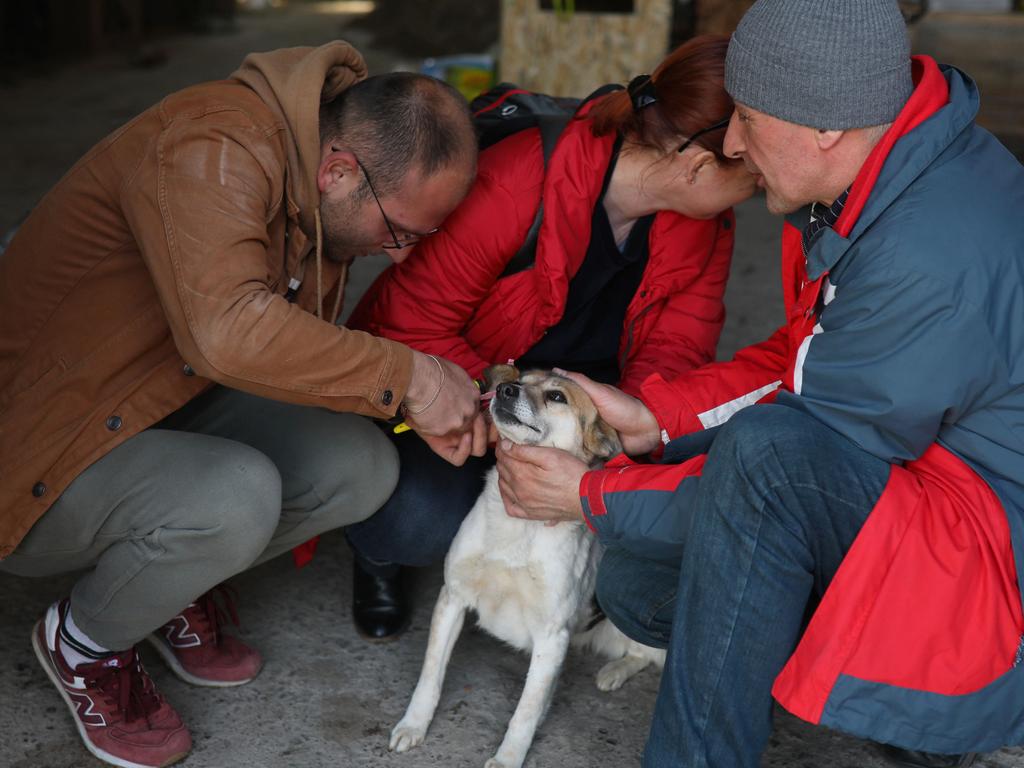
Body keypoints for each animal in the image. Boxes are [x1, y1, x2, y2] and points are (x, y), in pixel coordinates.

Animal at [389, 364, 663, 768]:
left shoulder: (552, 637)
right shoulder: (452, 598)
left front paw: (507, 758)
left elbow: (526, 711)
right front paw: (413, 724)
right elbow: (430, 676)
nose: (505, 390)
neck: (519, 526)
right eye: (518, 380)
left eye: (556, 396)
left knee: (645, 654)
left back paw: (613, 672)